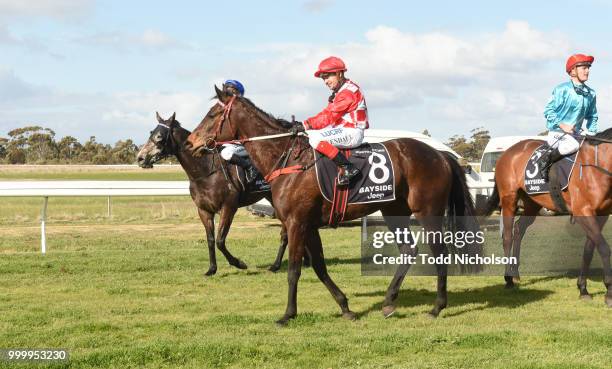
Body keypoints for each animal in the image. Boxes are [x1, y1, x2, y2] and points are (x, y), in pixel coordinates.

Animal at [137, 113, 290, 276]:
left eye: (159, 136)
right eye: (151, 133)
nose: (140, 158)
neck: (205, 171)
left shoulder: (228, 207)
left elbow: (220, 241)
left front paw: (239, 263)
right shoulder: (204, 210)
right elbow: (210, 239)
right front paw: (212, 269)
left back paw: (276, 265)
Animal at [184, 87, 480, 324]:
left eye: (212, 114)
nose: (190, 143)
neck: (287, 159)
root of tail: (440, 155)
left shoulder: (296, 223)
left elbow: (294, 270)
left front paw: (288, 314)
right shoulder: (309, 225)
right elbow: (319, 267)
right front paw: (345, 307)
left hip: (428, 212)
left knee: (439, 252)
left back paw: (437, 307)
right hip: (394, 211)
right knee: (409, 250)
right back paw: (388, 301)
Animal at [480, 128, 608, 306]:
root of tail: (506, 153)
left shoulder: (601, 213)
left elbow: (590, 247)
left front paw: (583, 288)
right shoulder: (583, 211)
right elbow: (602, 246)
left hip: (532, 203)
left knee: (519, 229)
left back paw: (515, 273)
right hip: (509, 200)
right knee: (507, 236)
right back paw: (508, 279)